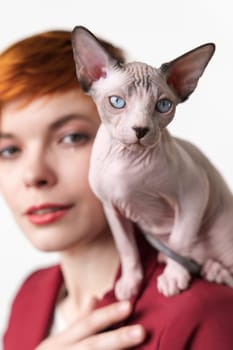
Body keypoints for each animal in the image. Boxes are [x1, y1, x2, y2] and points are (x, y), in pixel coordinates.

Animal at [71, 26, 233, 300]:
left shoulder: (195, 192)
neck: (127, 162)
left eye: (163, 105)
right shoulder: (111, 208)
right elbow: (126, 249)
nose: (140, 130)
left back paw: (214, 270)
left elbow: (180, 239)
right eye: (117, 102)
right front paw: (130, 282)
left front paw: (174, 277)